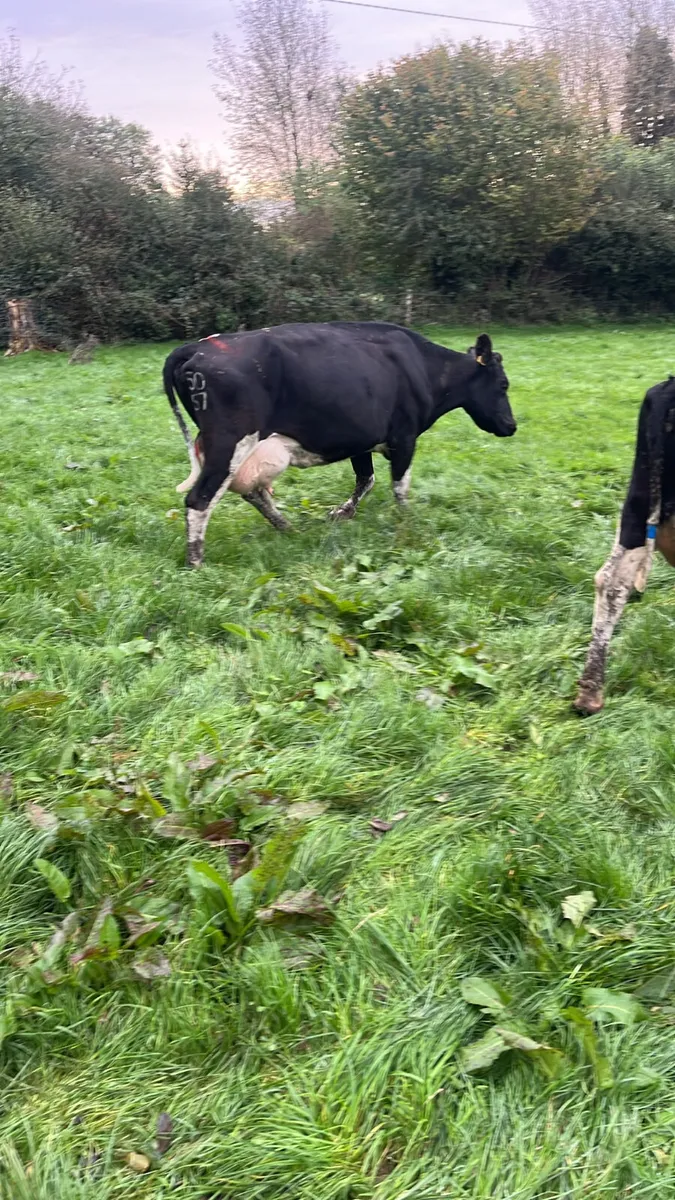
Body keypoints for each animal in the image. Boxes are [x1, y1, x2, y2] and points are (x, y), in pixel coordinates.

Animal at [162, 321, 517, 568]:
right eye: (503, 384)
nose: (512, 426)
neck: (424, 367)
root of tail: (195, 347)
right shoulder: (404, 437)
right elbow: (399, 488)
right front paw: (408, 526)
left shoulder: (362, 439)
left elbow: (366, 479)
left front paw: (342, 513)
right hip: (229, 441)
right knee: (200, 499)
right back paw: (196, 562)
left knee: (251, 491)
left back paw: (287, 528)